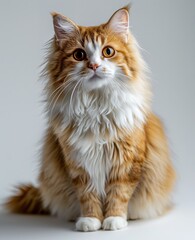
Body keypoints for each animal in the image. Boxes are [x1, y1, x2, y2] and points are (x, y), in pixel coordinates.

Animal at [4, 6, 176, 231]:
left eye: (108, 52)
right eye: (79, 55)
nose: (94, 65)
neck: (96, 107)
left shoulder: (127, 163)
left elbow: (119, 194)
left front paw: (114, 219)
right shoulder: (78, 164)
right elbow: (87, 196)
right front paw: (90, 221)